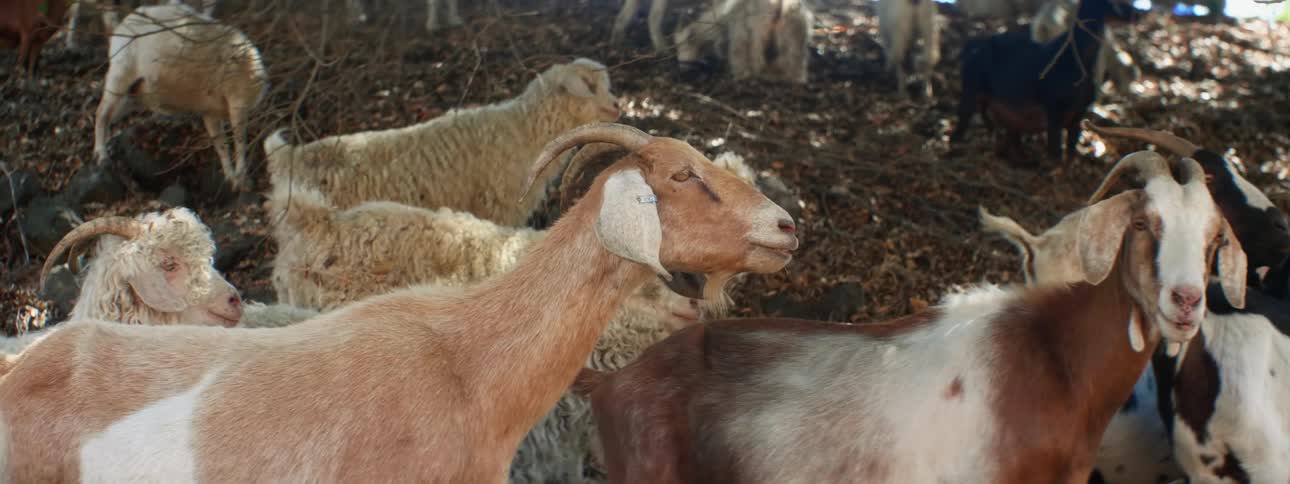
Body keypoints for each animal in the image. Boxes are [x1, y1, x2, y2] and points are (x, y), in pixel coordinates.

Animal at [92, 3, 267, 190]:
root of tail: (119, 27)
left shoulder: (211, 113)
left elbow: (222, 146)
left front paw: (231, 178)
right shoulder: (237, 104)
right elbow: (239, 141)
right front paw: (241, 180)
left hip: (132, 96)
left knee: (110, 116)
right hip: (119, 78)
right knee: (101, 113)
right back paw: (101, 156)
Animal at [950, 0, 1139, 164]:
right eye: (1115, 1)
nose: (1138, 14)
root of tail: (971, 45)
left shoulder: (1080, 111)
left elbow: (1071, 151)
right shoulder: (1054, 108)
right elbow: (1055, 151)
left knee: (1006, 134)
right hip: (971, 87)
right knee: (965, 116)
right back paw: (956, 145)